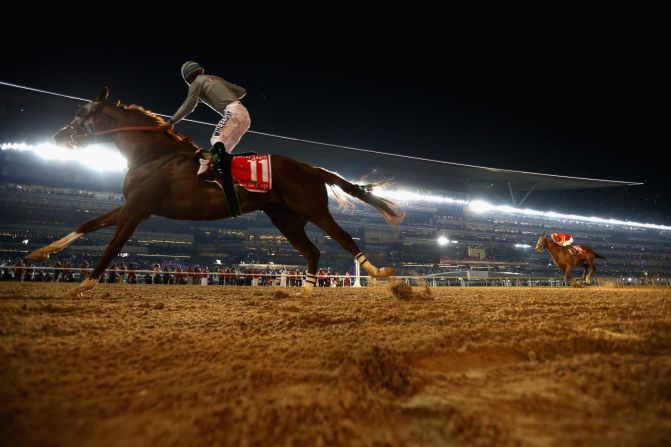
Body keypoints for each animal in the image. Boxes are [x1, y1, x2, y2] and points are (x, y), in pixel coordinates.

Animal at [27, 87, 404, 298]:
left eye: (82, 113)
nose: (59, 137)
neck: (153, 155)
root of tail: (312, 168)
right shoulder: (131, 205)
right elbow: (88, 224)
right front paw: (40, 252)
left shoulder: (138, 209)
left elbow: (111, 248)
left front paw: (83, 285)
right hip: (285, 219)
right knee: (312, 251)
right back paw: (307, 294)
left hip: (313, 209)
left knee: (344, 238)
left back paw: (381, 276)